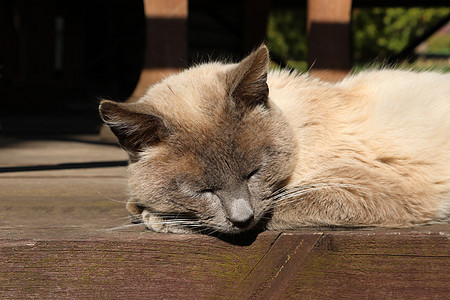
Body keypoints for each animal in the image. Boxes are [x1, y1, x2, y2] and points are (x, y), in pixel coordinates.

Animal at [101, 45, 450, 236]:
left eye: (254, 173)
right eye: (203, 190)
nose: (242, 219)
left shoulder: (371, 190)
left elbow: (284, 206)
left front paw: (155, 216)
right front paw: (141, 208)